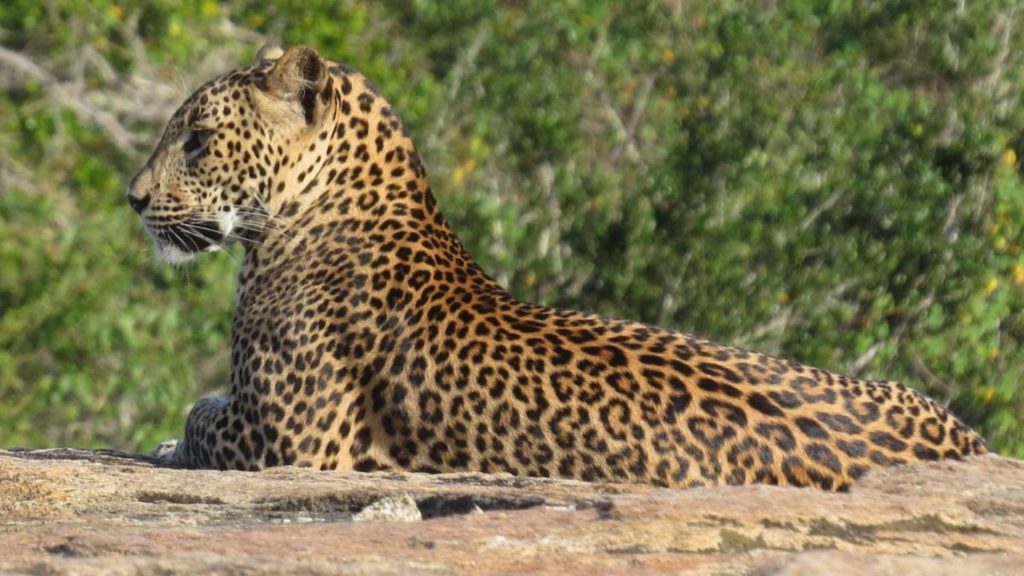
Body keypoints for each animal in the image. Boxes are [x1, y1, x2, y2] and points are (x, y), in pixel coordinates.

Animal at [127, 45, 988, 491]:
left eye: (198, 139)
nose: (132, 199)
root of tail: (968, 438)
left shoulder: (288, 438)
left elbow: (197, 413)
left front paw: (167, 444)